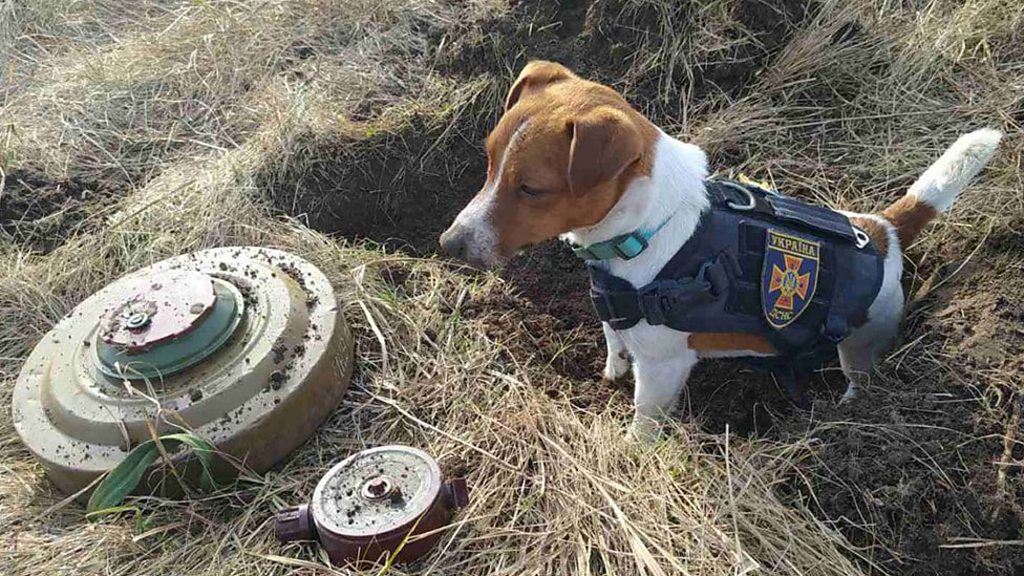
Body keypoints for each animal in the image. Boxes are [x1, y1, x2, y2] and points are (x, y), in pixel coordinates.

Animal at [438, 60, 999, 436]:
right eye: (488, 161)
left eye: (532, 189)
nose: (448, 243)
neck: (646, 228)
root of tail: (882, 230)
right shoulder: (616, 315)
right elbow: (615, 343)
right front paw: (610, 373)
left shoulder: (663, 368)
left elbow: (644, 419)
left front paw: (632, 448)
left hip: (862, 344)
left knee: (860, 376)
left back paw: (848, 410)